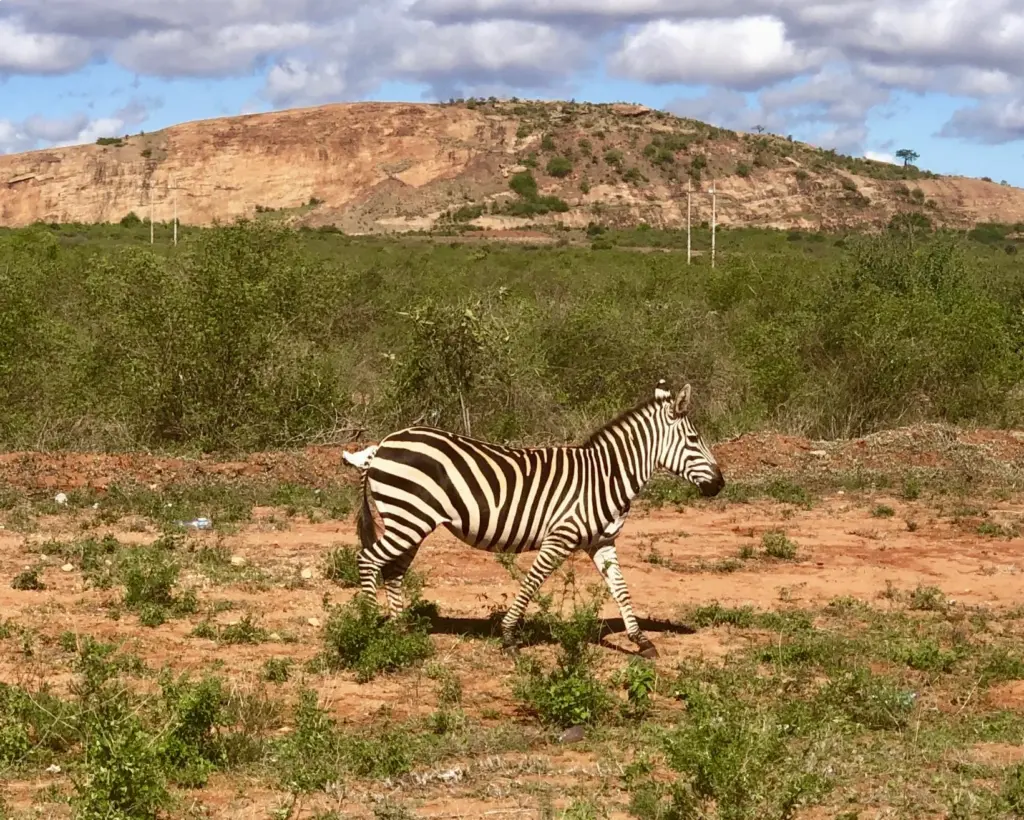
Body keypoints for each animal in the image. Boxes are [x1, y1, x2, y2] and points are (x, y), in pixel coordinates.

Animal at [342, 379, 724, 659]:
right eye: (694, 439)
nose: (720, 485)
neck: (605, 475)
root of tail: (383, 445)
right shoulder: (560, 537)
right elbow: (532, 582)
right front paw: (510, 636)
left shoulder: (602, 542)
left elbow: (620, 588)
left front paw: (641, 640)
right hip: (408, 519)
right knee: (368, 559)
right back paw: (366, 626)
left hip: (410, 521)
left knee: (393, 569)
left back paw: (400, 629)